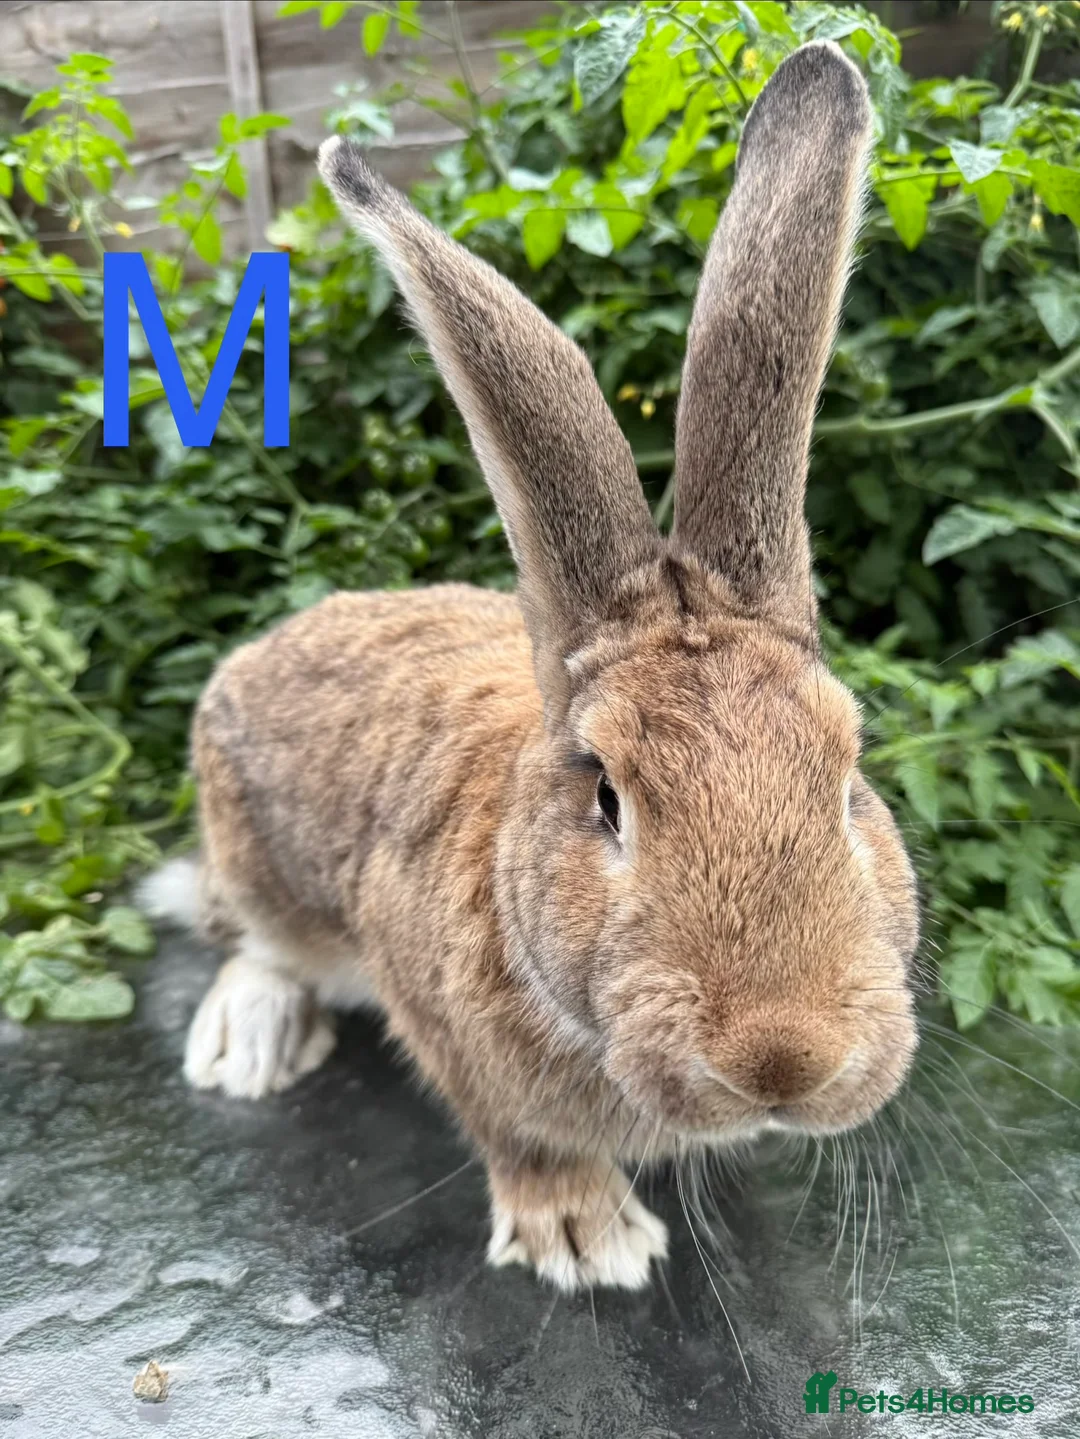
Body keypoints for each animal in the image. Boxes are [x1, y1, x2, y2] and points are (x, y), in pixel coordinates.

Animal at [140, 41, 920, 1294]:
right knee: (251, 941)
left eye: (848, 778)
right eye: (607, 797)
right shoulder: (431, 997)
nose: (783, 1058)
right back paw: (247, 1048)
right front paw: (587, 1239)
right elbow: (510, 1128)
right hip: (257, 859)